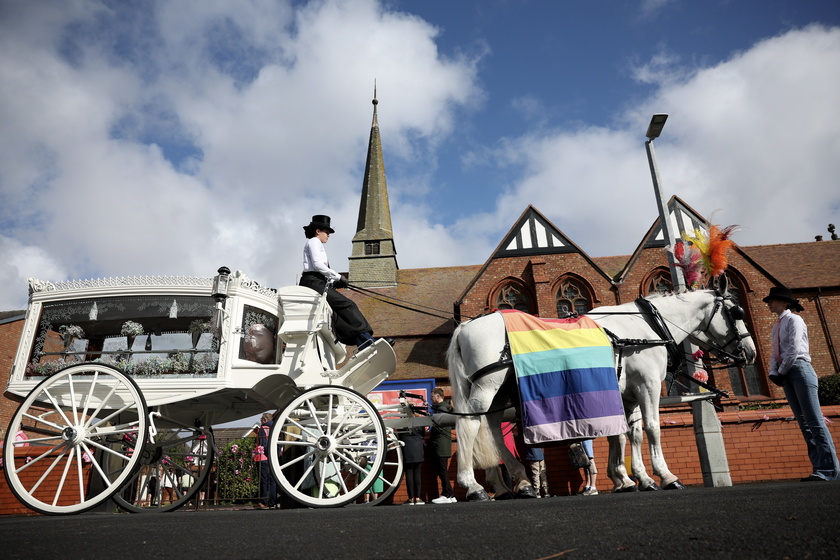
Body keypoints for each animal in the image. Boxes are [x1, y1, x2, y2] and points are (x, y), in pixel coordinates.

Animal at [450, 284, 756, 498]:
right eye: (736, 312)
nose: (750, 351)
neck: (646, 327)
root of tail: (466, 325)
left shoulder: (627, 394)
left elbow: (627, 434)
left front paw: (634, 478)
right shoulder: (647, 385)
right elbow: (652, 428)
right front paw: (665, 476)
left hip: (499, 390)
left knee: (491, 426)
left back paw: (516, 483)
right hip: (488, 384)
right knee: (470, 423)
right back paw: (474, 485)